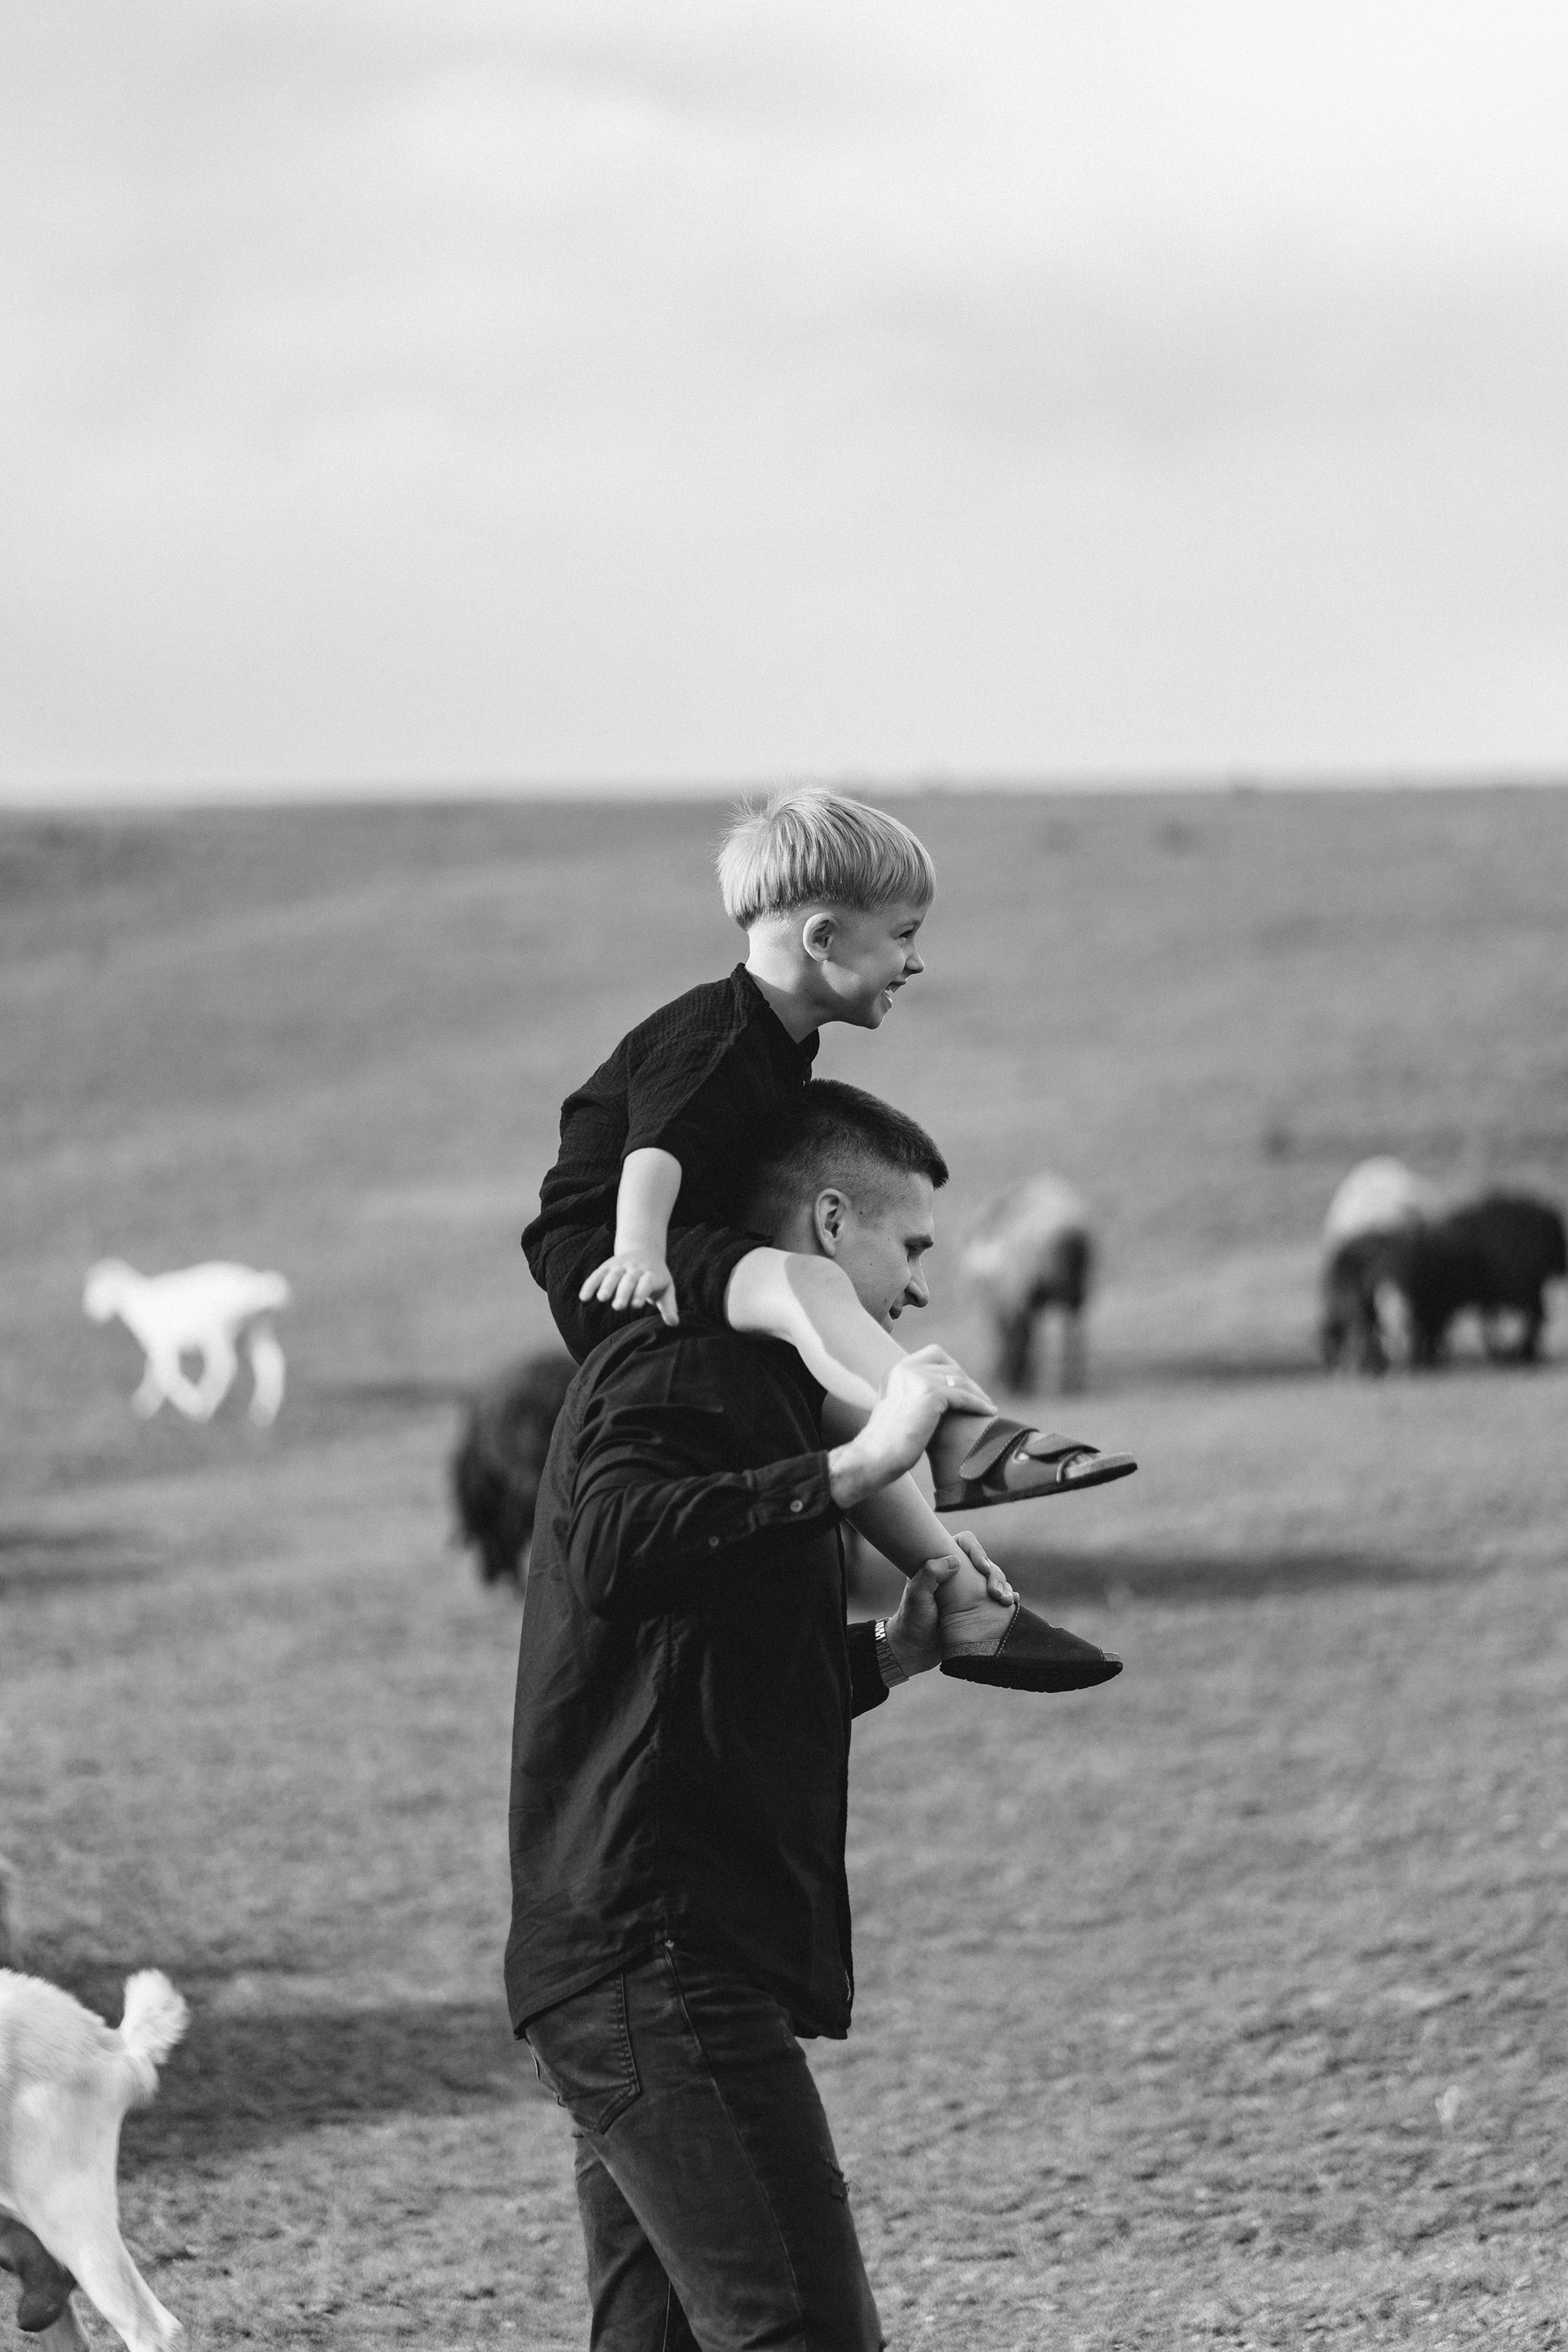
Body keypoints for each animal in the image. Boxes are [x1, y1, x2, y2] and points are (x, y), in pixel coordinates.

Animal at [83, 1259, 290, 1425]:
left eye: (98, 1292)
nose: (92, 1313)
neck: (139, 1303)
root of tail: (257, 1286)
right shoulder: (160, 1349)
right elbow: (154, 1370)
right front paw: (145, 1404)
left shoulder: (163, 1344)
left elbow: (166, 1374)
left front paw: (193, 1404)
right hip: (255, 1329)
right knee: (270, 1362)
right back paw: (263, 1410)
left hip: (217, 1330)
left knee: (225, 1366)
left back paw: (207, 1404)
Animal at [959, 1175, 1095, 1395]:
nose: (1001, 1384)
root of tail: (1071, 1233)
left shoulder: (1012, 1298)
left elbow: (1019, 1333)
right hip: (1076, 1289)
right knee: (1074, 1326)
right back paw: (1073, 1380)